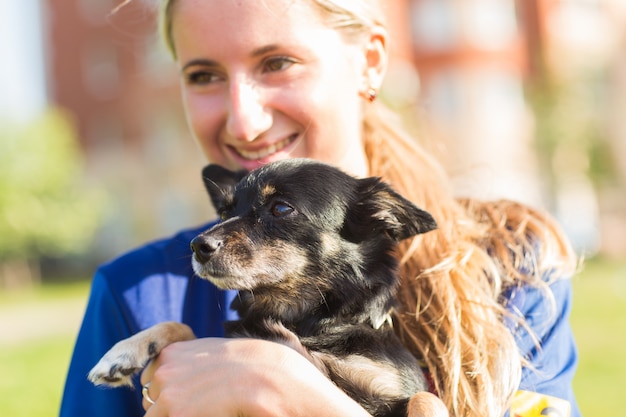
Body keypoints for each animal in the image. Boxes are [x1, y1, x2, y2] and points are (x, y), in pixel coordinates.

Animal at [90, 158, 446, 414]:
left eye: (281, 209)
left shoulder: (394, 389)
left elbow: (425, 400)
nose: (197, 245)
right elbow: (183, 327)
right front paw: (121, 353)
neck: (301, 320)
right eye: (224, 212)